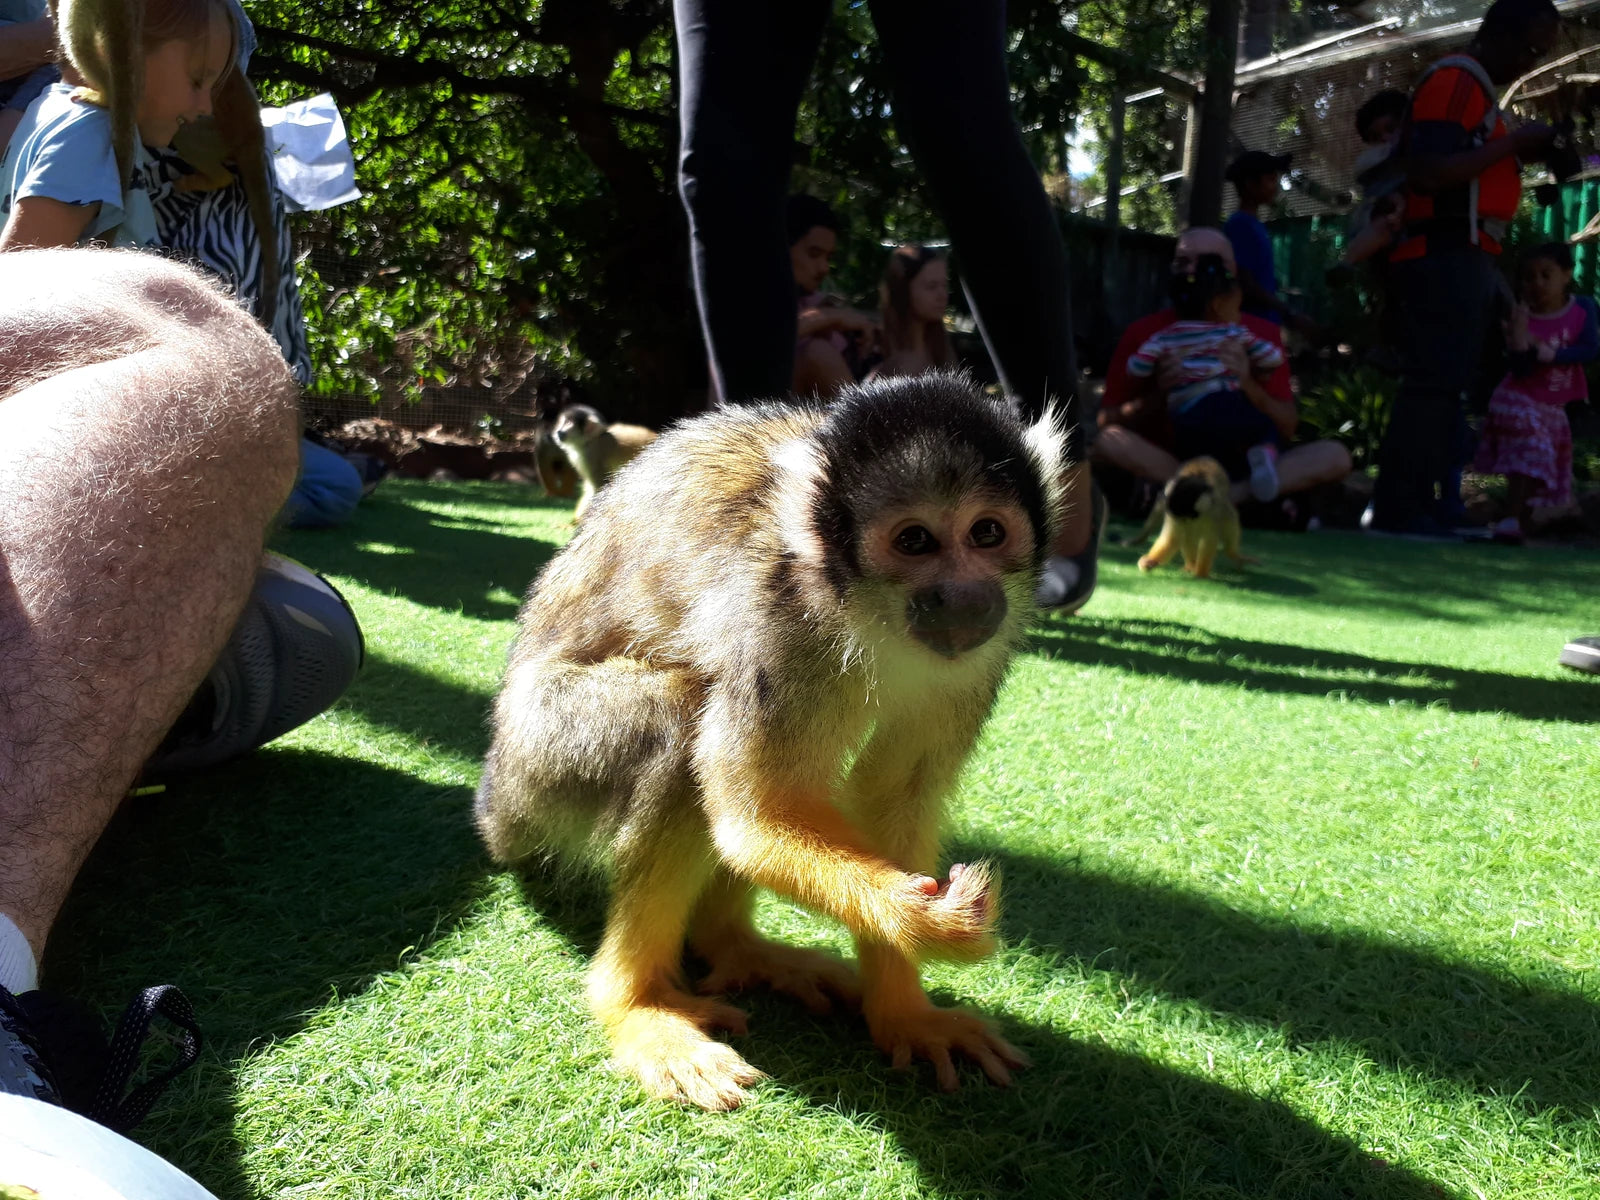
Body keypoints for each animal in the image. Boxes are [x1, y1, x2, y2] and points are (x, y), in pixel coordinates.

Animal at [475, 371, 1064, 1111]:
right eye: (915, 541)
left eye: (987, 532)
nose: (962, 596)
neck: (863, 610)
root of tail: (495, 795)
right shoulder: (777, 621)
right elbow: (755, 822)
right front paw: (930, 924)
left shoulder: (981, 655)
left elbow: (890, 797)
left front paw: (907, 1013)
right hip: (542, 758)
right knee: (680, 721)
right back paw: (636, 1003)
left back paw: (735, 947)